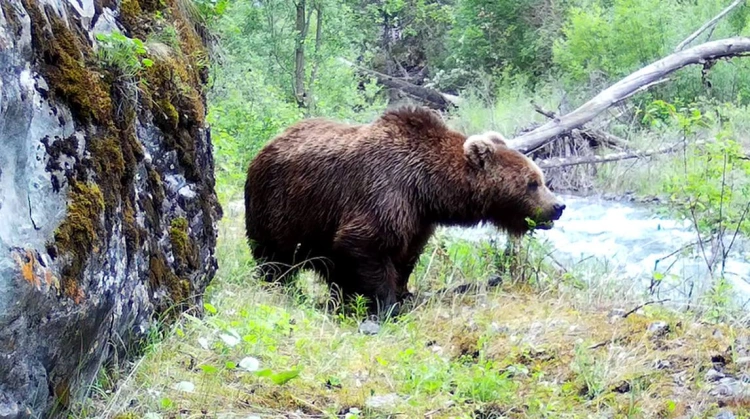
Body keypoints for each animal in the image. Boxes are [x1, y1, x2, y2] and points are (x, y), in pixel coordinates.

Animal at [244, 106, 565, 316]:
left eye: (540, 178)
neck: (428, 187)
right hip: (280, 206)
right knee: (275, 257)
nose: (558, 206)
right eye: (532, 182)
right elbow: (365, 244)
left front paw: (403, 292)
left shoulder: (418, 218)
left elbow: (407, 255)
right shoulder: (384, 191)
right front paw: (387, 304)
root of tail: (268, 143)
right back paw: (283, 286)